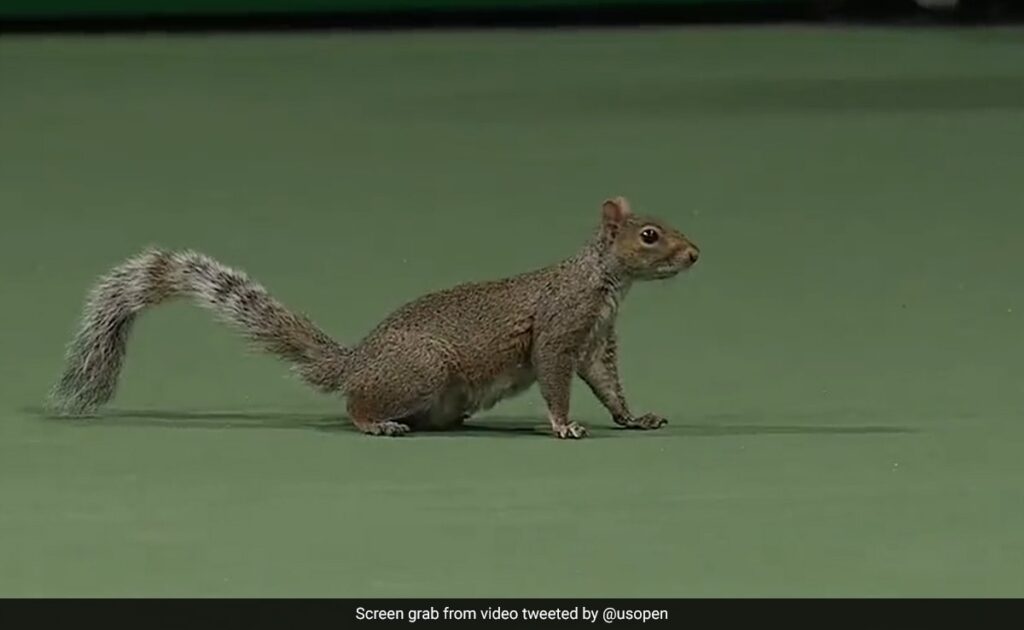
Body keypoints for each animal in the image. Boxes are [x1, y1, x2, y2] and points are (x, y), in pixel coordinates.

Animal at [49, 196, 699, 439]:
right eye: (649, 235)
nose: (695, 253)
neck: (604, 283)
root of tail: (356, 362)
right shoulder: (559, 332)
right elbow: (557, 381)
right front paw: (564, 426)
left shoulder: (596, 342)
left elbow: (608, 383)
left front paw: (634, 417)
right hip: (423, 368)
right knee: (354, 406)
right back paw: (377, 422)